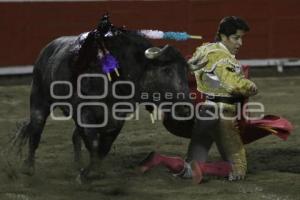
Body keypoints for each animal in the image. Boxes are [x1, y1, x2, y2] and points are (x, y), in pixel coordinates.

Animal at [14, 23, 193, 180]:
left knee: (75, 136)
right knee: (36, 132)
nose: (185, 108)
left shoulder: (117, 117)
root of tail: (48, 49)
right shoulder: (84, 112)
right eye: (167, 70)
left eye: (186, 71)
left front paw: (93, 171)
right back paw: (29, 168)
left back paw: (78, 164)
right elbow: (93, 143)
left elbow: (104, 147)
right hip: (39, 100)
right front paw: (88, 174)